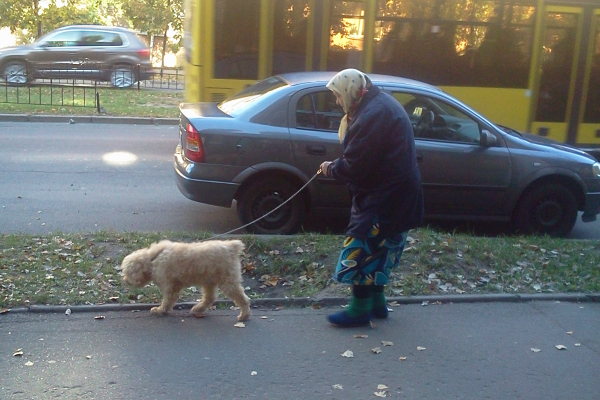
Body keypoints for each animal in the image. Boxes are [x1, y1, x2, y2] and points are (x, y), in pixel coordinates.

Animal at [120, 239, 251, 321]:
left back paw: (244, 315)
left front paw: (160, 310)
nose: (125, 280)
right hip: (209, 281)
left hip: (227, 282)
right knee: (210, 298)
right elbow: (170, 300)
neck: (153, 260)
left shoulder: (169, 285)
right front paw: (165, 310)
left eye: (126, 272)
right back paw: (198, 308)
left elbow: (167, 300)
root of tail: (231, 247)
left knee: (243, 299)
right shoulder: (174, 286)